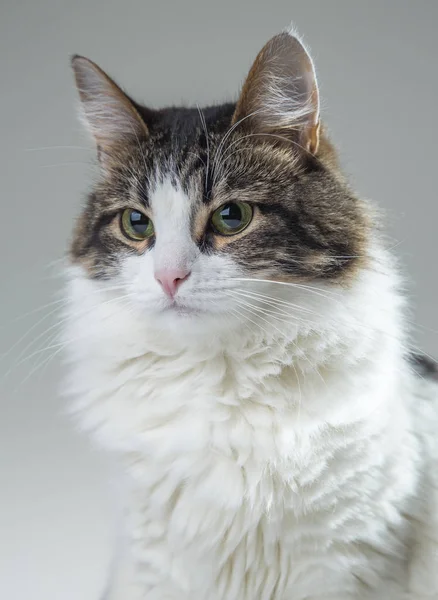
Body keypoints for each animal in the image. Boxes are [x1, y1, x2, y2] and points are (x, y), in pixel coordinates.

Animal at [64, 24, 438, 600]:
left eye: (231, 216)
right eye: (136, 223)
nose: (168, 277)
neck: (220, 381)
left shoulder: (340, 564)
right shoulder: (150, 565)